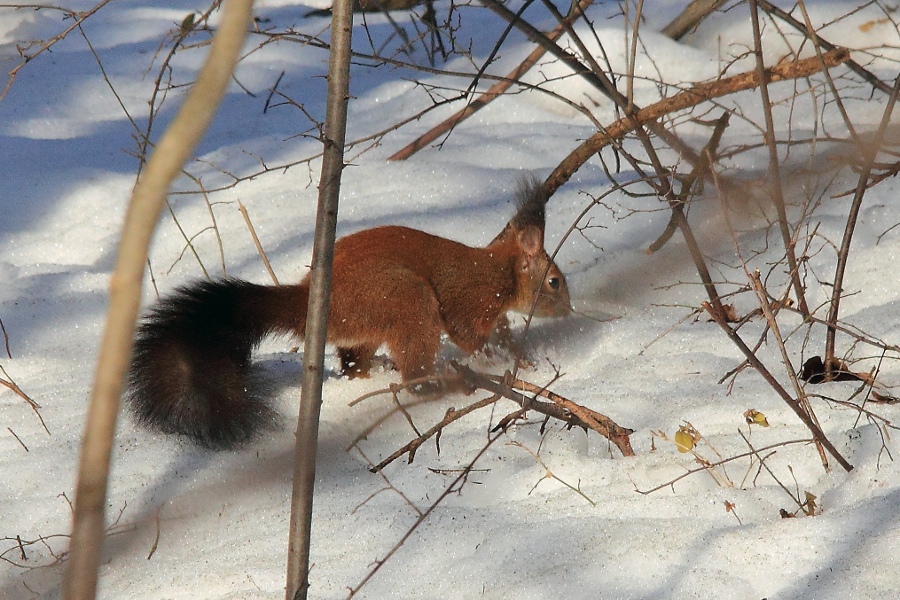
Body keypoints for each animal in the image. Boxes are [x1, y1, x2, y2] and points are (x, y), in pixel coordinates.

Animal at [126, 176, 568, 448]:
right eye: (554, 282)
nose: (569, 309)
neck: (500, 271)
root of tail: (312, 302)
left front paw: (519, 354)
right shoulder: (473, 299)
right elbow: (469, 335)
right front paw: (496, 358)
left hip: (368, 328)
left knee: (355, 365)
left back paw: (376, 374)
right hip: (407, 301)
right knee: (414, 377)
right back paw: (444, 385)